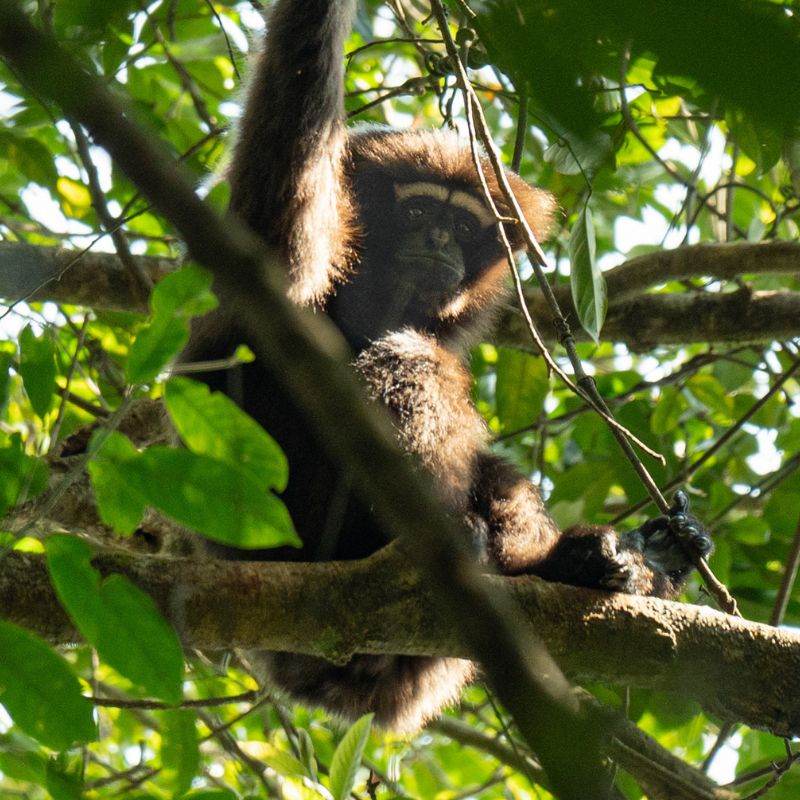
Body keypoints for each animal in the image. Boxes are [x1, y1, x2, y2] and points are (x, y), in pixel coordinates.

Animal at [181, 0, 713, 733]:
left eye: (460, 228)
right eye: (417, 212)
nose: (436, 239)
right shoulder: (282, 268)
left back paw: (584, 564)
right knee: (412, 359)